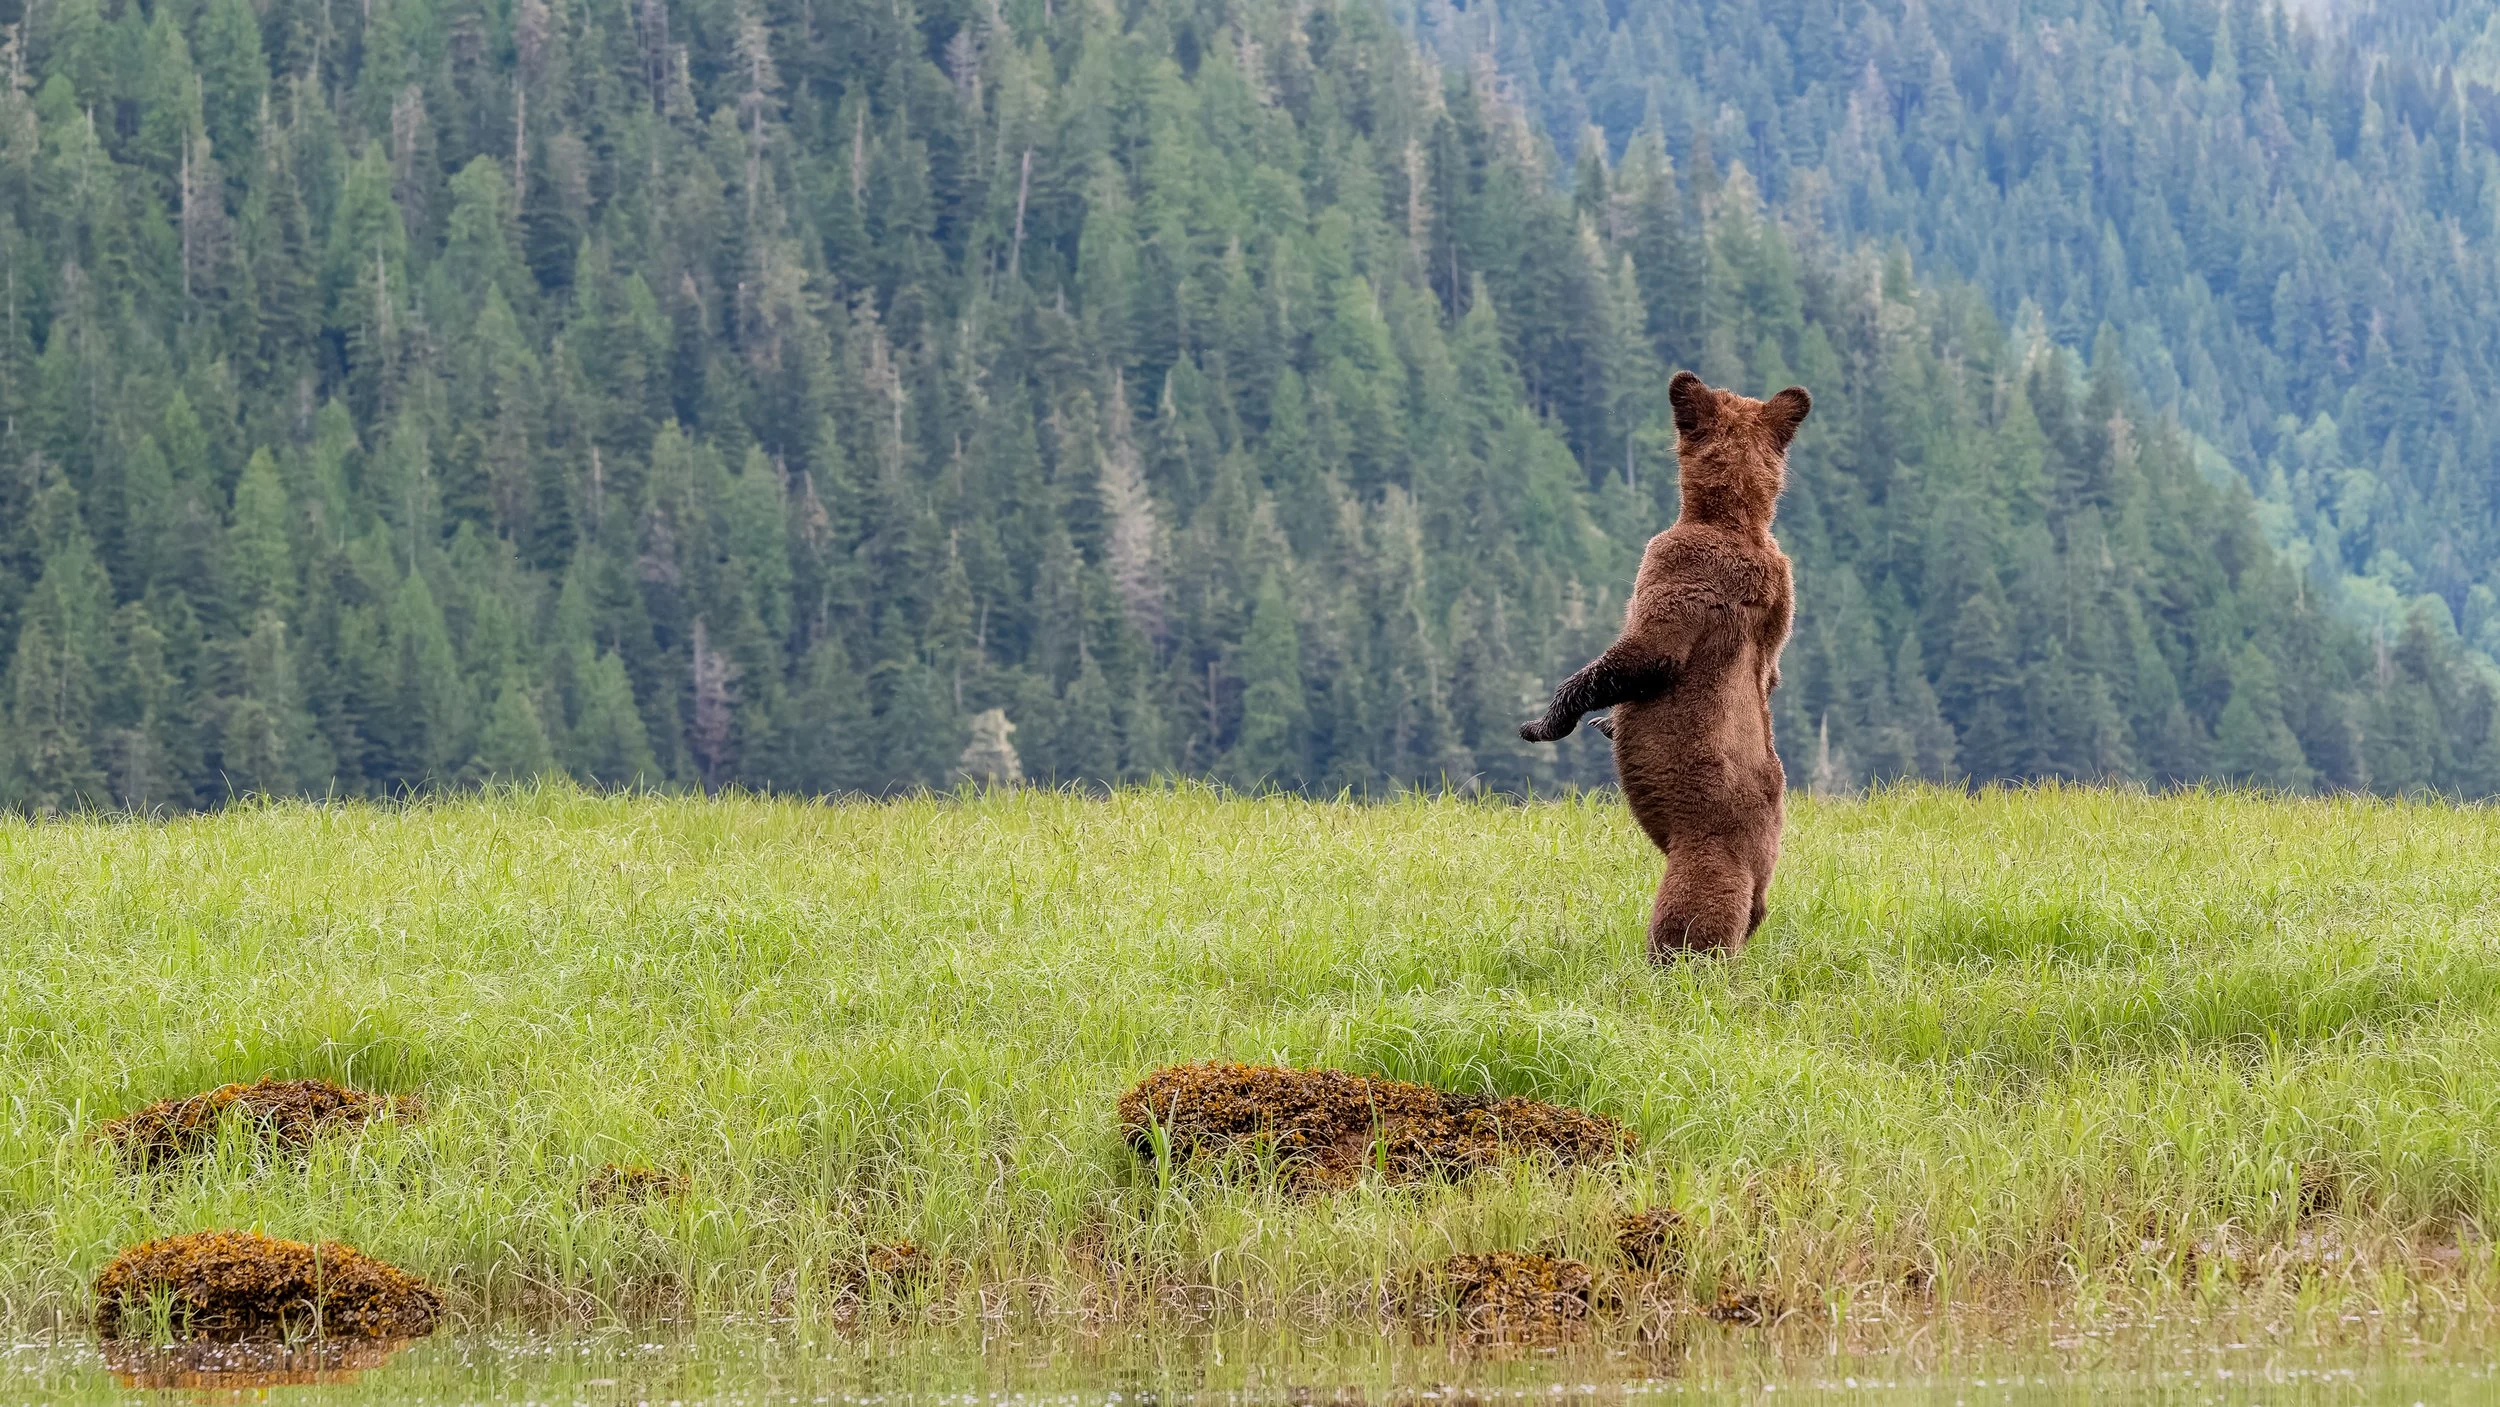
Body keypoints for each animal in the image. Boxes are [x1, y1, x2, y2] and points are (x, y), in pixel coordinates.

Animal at [1518, 371, 1808, 959]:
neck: (1732, 518)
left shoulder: (1682, 566)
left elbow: (1647, 653)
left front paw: (1544, 721)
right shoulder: (1783, 599)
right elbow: (1771, 670)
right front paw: (1606, 724)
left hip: (1710, 842)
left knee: (1692, 909)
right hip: (1768, 858)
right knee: (1755, 911)